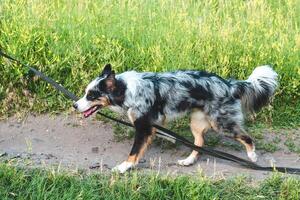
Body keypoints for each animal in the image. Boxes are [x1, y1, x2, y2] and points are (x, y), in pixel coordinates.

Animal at [74, 64, 278, 173]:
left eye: (91, 95)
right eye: (86, 93)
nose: (74, 105)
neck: (125, 90)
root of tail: (229, 84)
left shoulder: (143, 127)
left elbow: (134, 152)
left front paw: (124, 167)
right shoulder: (151, 126)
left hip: (220, 122)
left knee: (247, 137)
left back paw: (252, 156)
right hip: (196, 122)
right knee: (199, 142)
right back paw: (188, 161)